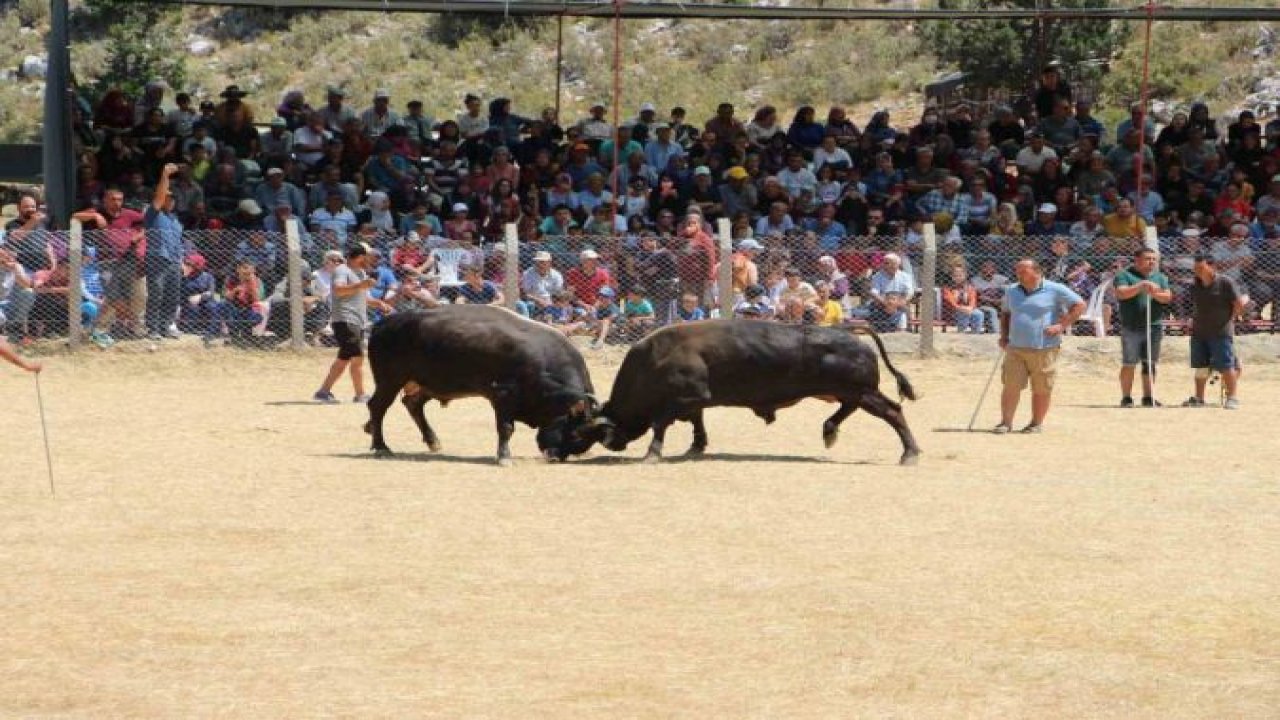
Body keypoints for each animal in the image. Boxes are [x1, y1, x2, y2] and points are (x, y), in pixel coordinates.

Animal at [363, 303, 596, 466]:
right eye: (575, 434)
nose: (555, 457)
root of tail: (382, 324)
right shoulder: (503, 396)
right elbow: (506, 428)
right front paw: (504, 457)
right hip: (390, 380)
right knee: (378, 406)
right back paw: (381, 446)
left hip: (426, 384)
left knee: (412, 403)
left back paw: (431, 441)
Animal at [540, 317, 921, 461]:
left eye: (576, 432)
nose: (553, 453)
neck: (655, 359)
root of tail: (850, 331)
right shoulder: (694, 402)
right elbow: (696, 423)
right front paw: (696, 447)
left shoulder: (683, 399)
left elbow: (662, 425)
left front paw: (653, 453)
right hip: (851, 393)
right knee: (850, 411)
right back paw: (829, 432)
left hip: (862, 392)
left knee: (893, 411)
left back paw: (909, 453)